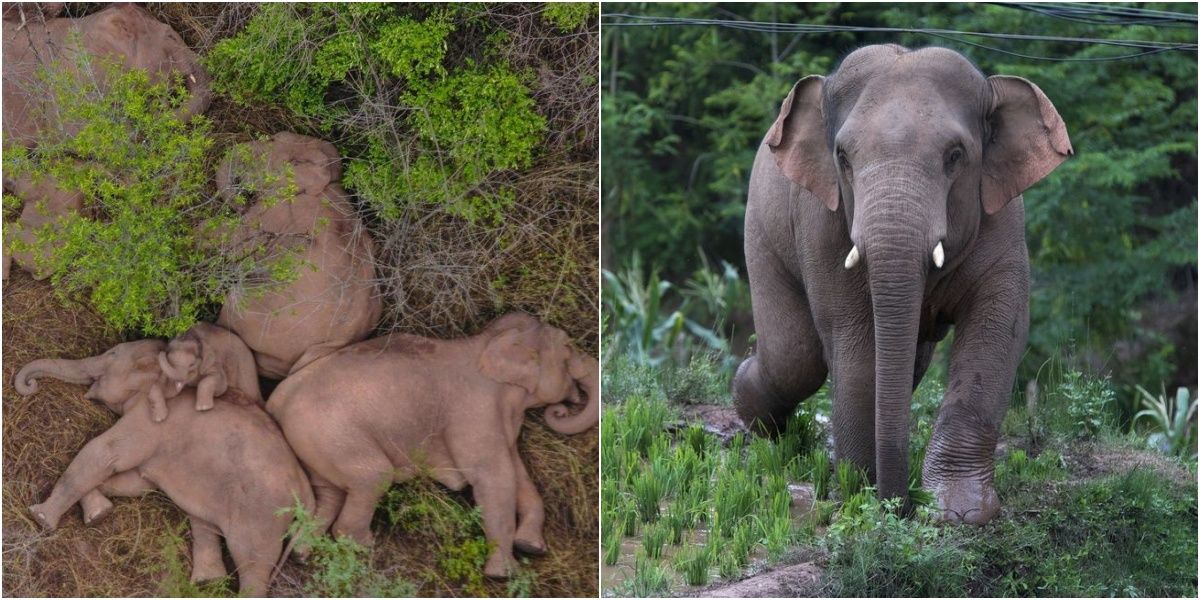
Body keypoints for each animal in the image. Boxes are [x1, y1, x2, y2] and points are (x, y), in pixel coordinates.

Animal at [15, 338, 314, 595]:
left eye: (112, 354)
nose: (31, 384)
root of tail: (307, 491)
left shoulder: (151, 422)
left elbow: (105, 453)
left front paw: (41, 518)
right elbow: (134, 482)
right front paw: (99, 514)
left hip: (262, 516)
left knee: (253, 563)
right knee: (204, 521)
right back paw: (207, 581)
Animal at [266, 309, 595, 576]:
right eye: (568, 348)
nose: (560, 410)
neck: (486, 341)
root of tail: (277, 399)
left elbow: (519, 474)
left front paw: (530, 546)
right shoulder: (474, 411)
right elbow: (494, 477)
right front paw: (505, 575)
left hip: (316, 442)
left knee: (329, 493)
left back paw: (302, 555)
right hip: (330, 431)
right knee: (373, 477)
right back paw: (366, 548)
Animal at [734, 45, 1075, 525]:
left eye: (955, 155)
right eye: (843, 157)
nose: (900, 507)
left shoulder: (1004, 220)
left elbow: (998, 325)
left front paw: (959, 513)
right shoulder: (821, 223)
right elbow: (854, 338)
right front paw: (861, 495)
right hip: (760, 233)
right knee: (795, 357)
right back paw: (755, 413)